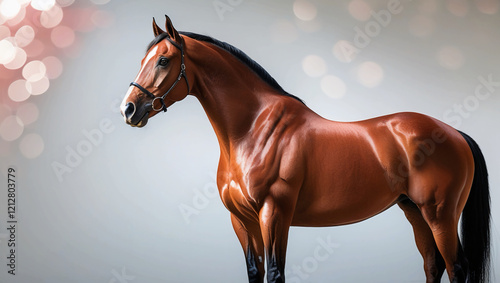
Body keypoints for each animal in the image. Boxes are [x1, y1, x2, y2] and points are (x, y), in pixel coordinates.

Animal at [119, 16, 490, 283]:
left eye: (163, 60)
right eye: (143, 59)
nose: (129, 109)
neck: (253, 130)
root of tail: (454, 133)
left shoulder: (274, 213)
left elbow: (275, 273)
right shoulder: (241, 220)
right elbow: (254, 273)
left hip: (440, 214)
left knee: (457, 268)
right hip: (414, 210)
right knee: (433, 265)